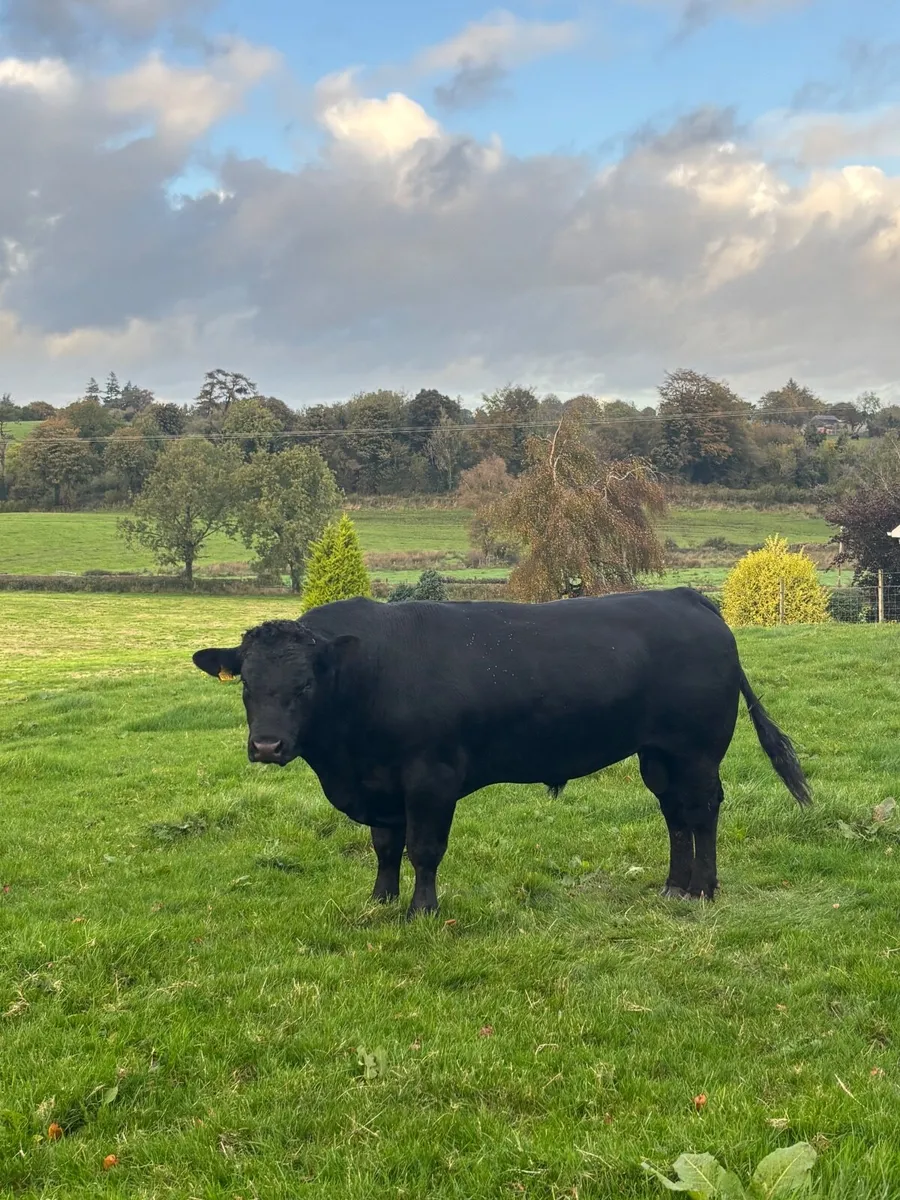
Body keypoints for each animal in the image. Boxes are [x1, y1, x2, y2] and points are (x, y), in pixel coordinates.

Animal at [192, 588, 810, 918]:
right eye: (246, 684)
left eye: (305, 685)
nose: (267, 745)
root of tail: (687, 598)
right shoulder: (380, 784)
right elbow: (385, 848)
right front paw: (381, 902)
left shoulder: (431, 777)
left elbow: (423, 849)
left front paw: (422, 911)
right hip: (657, 754)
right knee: (675, 813)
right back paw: (674, 885)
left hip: (698, 750)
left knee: (702, 810)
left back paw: (703, 889)